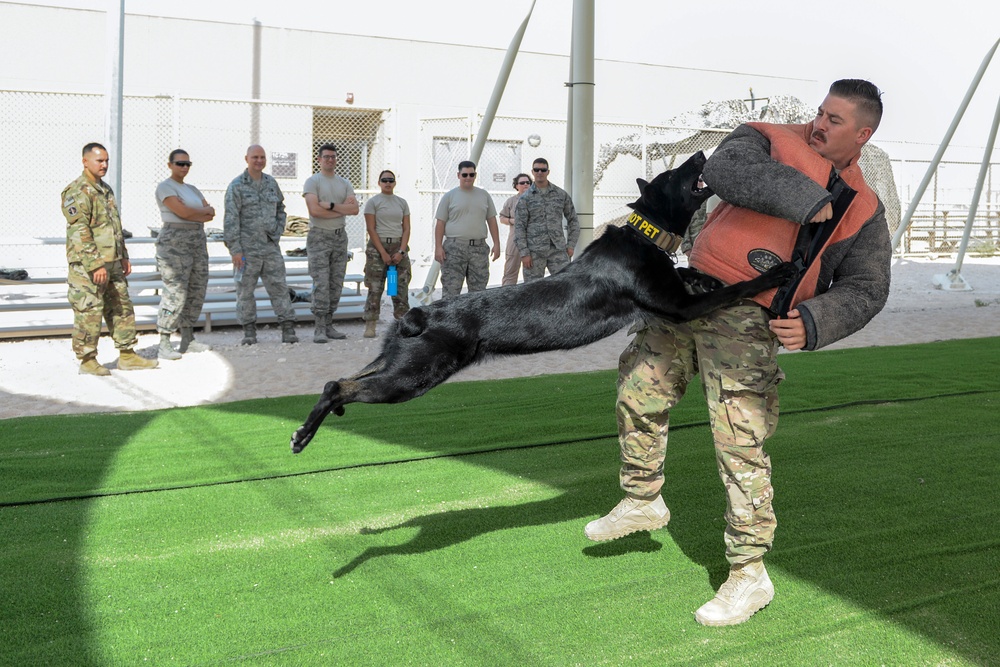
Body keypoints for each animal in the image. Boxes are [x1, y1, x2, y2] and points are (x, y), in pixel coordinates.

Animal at [292, 151, 796, 454]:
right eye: (676, 176)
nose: (700, 154)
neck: (645, 234)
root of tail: (416, 313)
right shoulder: (676, 307)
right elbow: (734, 289)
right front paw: (776, 274)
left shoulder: (673, 292)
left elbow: (696, 275)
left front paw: (708, 274)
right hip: (414, 376)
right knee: (338, 385)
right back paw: (303, 434)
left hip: (397, 361)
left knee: (342, 379)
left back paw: (310, 425)